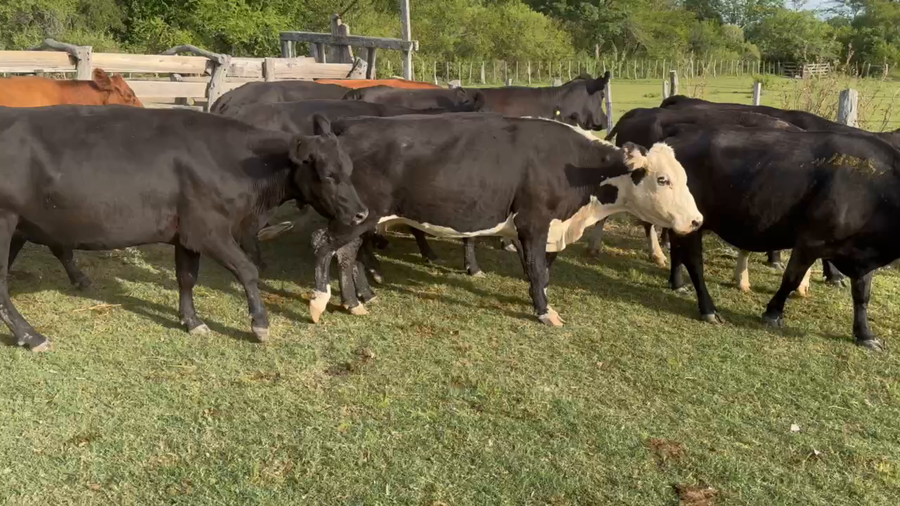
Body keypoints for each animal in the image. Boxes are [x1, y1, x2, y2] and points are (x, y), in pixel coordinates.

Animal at [0, 106, 367, 351]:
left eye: (349, 168)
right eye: (328, 174)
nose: (361, 214)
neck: (232, 161)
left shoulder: (187, 233)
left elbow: (186, 277)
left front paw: (191, 321)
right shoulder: (209, 230)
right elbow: (248, 270)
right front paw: (260, 324)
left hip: (19, 227)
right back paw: (31, 336)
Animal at [294, 114, 702, 326]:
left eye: (684, 177)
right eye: (662, 180)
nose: (697, 221)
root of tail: (347, 132)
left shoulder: (546, 227)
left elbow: (542, 269)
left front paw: (541, 300)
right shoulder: (534, 222)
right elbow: (536, 268)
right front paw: (544, 311)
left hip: (362, 219)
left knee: (348, 254)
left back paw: (356, 300)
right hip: (357, 216)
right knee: (324, 244)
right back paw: (320, 302)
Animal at [657, 124, 900, 350]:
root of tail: (675, 141)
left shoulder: (861, 256)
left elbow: (862, 295)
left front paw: (865, 335)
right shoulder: (810, 241)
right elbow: (791, 278)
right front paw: (773, 313)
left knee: (678, 251)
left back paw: (678, 284)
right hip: (692, 225)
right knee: (694, 263)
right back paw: (708, 309)